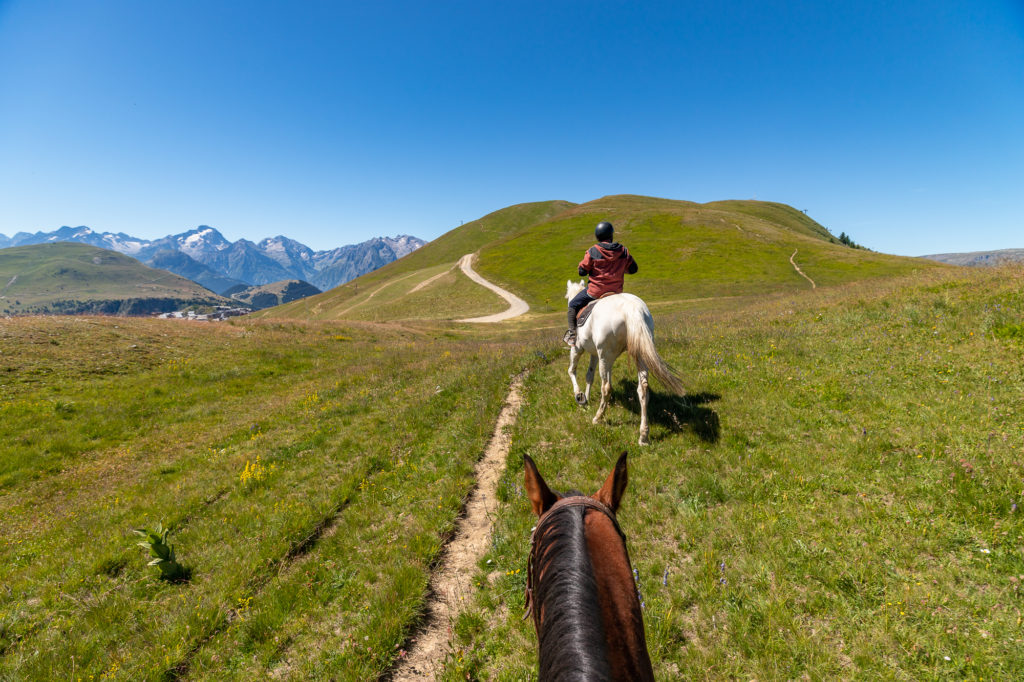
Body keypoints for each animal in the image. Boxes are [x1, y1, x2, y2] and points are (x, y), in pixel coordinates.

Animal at [565, 278, 684, 444]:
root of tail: (631, 309)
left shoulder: (577, 349)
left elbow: (572, 371)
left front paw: (580, 397)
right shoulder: (595, 354)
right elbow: (589, 376)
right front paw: (586, 399)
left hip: (605, 356)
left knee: (606, 387)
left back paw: (598, 418)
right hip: (639, 353)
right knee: (643, 388)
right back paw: (643, 436)